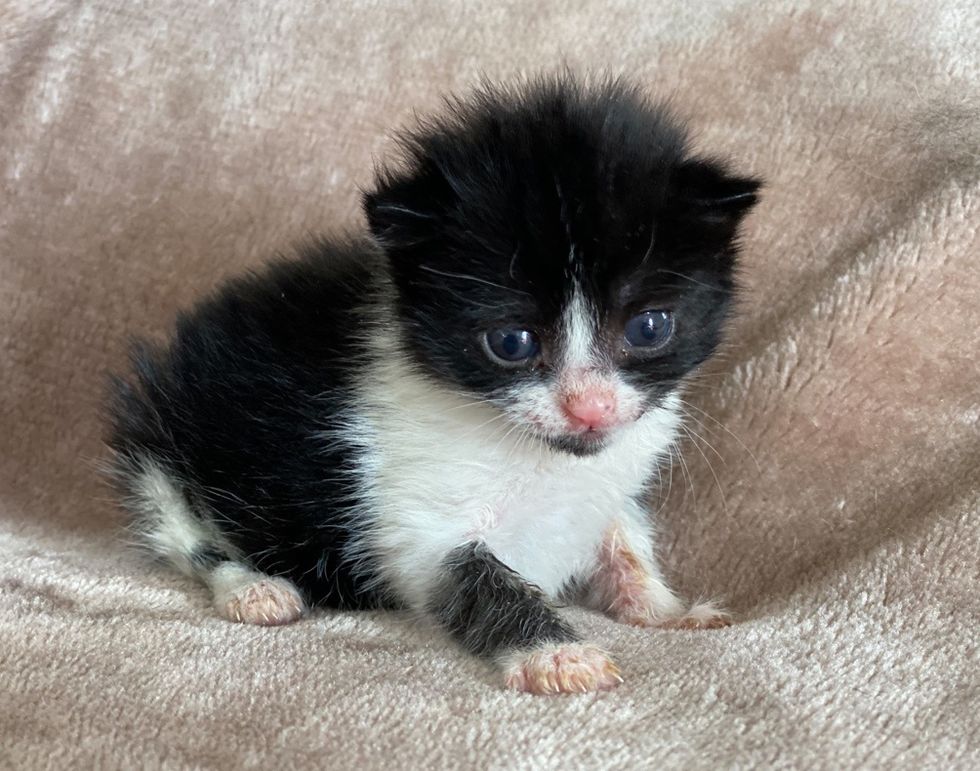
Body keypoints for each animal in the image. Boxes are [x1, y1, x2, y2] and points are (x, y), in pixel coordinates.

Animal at [109, 75, 764, 696]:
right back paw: (253, 587)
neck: (538, 453)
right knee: (184, 534)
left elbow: (624, 538)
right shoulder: (415, 515)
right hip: (157, 431)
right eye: (511, 342)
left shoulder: (610, 476)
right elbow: (478, 580)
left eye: (649, 326)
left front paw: (664, 609)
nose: (590, 409)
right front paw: (555, 654)